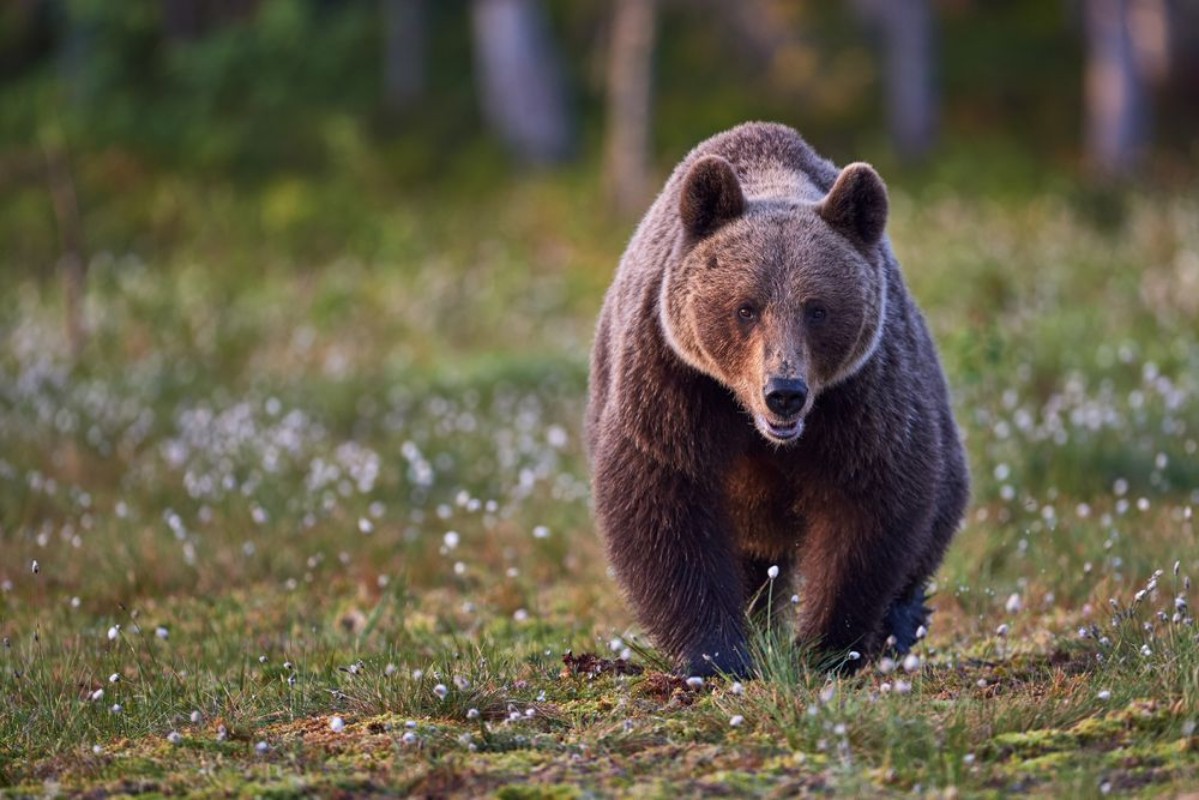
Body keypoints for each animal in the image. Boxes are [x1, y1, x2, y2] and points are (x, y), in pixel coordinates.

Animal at [586, 122, 969, 677]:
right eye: (746, 308)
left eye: (817, 309)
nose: (784, 392)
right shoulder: (673, 380)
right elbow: (665, 500)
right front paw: (717, 653)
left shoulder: (860, 395)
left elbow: (868, 506)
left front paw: (827, 647)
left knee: (937, 510)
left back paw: (900, 621)